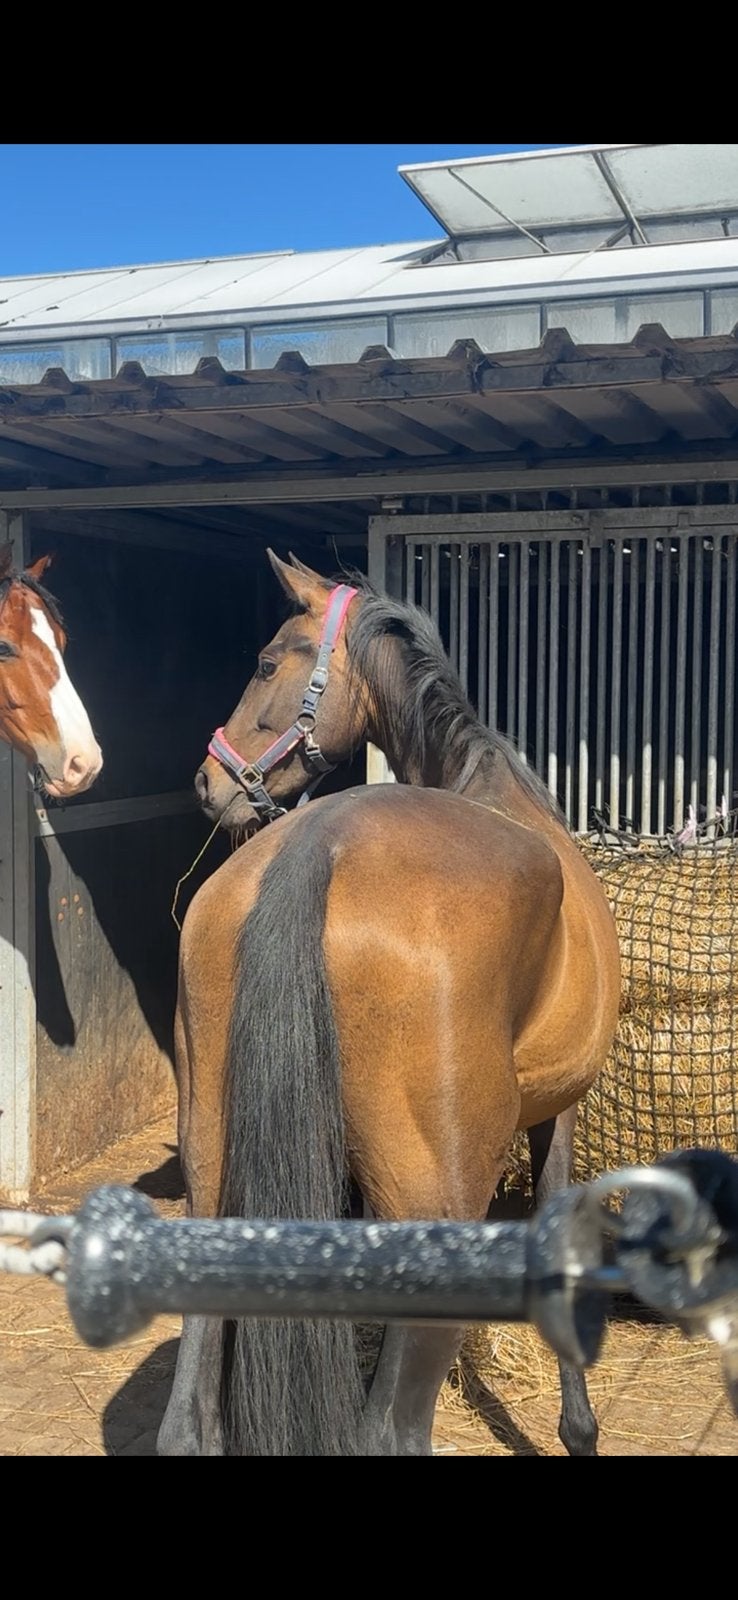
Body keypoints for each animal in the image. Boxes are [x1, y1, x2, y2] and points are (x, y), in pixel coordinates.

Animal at [157, 550, 621, 1457]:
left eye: (267, 660)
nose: (206, 782)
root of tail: (319, 841)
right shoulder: (560, 1110)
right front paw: (579, 1428)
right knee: (389, 1428)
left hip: (216, 1179)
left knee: (188, 1419)